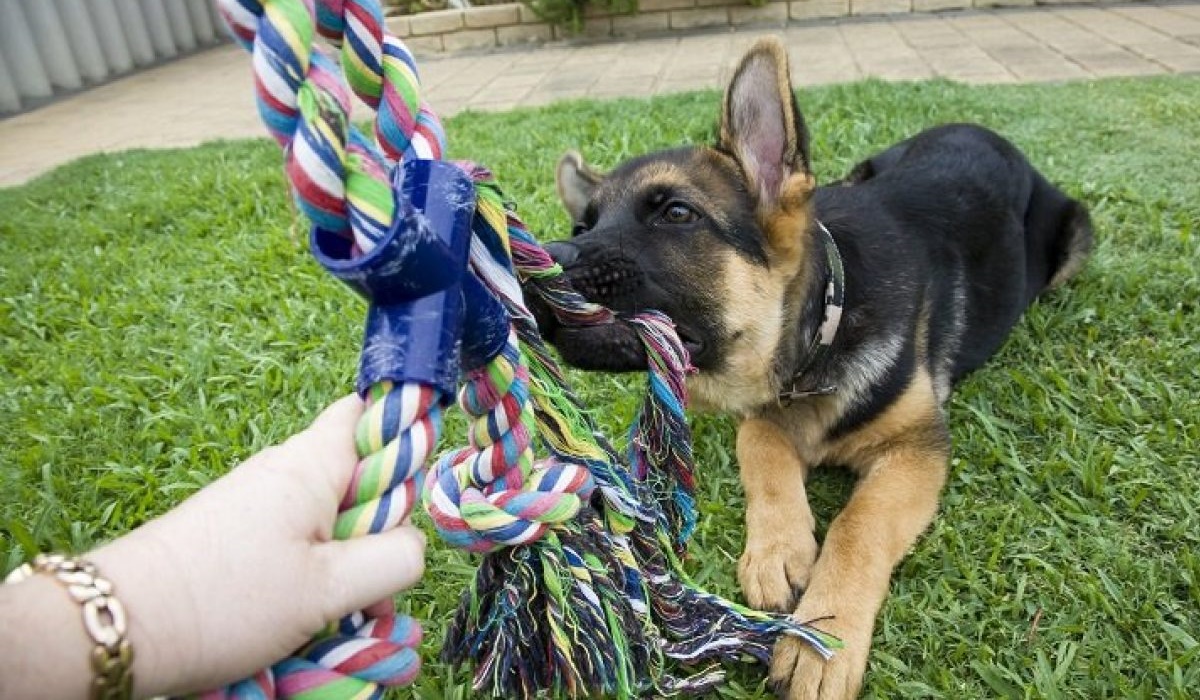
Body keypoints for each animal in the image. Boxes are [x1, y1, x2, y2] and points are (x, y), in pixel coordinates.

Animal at [532, 39, 1089, 700]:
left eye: (676, 213)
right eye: (581, 226)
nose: (539, 264)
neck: (821, 335)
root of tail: (981, 130)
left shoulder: (917, 447)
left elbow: (858, 524)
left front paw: (823, 635)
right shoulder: (762, 414)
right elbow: (762, 449)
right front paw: (778, 549)